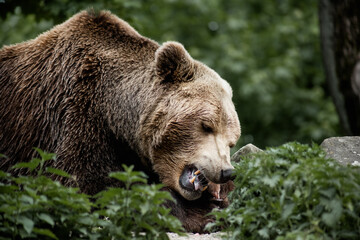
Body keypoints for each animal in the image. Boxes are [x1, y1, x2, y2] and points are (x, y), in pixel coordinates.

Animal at [0, 9, 242, 232]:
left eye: (231, 140)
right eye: (206, 126)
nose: (225, 171)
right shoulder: (75, 116)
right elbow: (86, 186)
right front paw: (203, 211)